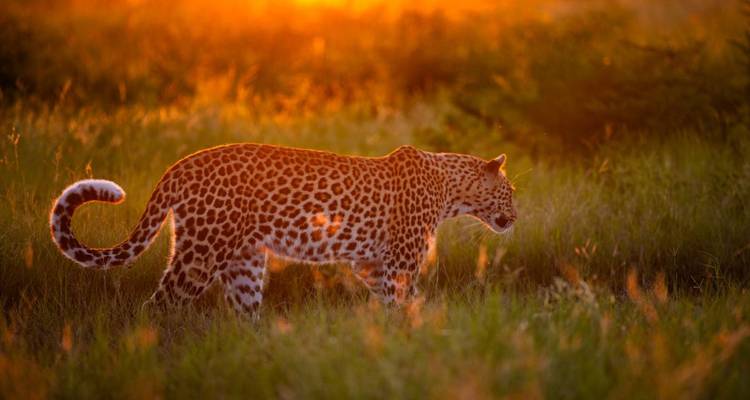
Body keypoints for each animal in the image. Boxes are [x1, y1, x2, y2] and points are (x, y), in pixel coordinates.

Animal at [50, 144, 517, 319]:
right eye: (510, 191)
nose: (516, 216)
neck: (449, 186)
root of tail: (179, 165)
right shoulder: (399, 263)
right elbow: (400, 301)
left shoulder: (370, 263)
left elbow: (393, 300)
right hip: (202, 252)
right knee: (160, 305)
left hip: (244, 261)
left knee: (245, 313)